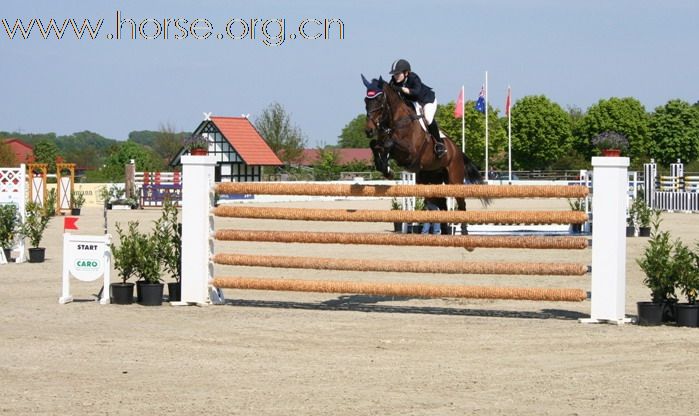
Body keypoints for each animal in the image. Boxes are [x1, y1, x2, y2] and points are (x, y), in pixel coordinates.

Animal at [364, 74, 490, 234]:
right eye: (366, 100)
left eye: (379, 99)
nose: (368, 130)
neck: (396, 120)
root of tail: (457, 150)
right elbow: (375, 145)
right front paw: (384, 168)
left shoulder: (410, 153)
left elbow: (389, 144)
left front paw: (387, 169)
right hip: (429, 180)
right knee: (442, 204)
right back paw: (445, 232)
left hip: (454, 179)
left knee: (461, 205)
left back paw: (464, 233)